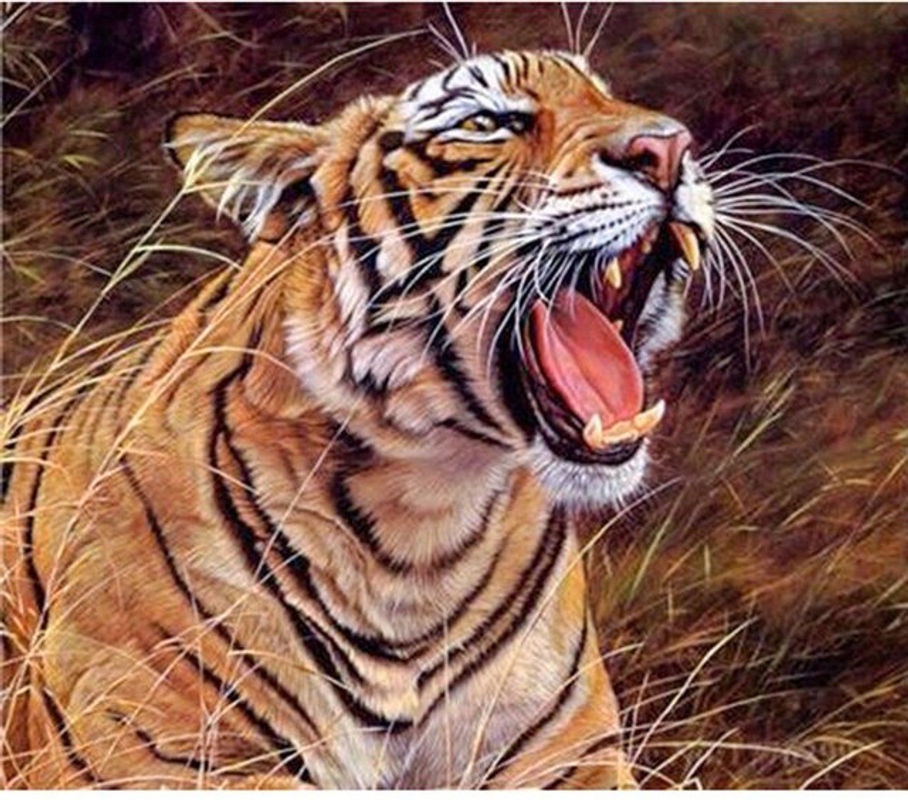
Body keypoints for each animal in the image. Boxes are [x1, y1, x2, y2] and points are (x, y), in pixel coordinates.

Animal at [1, 49, 714, 789]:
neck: (419, 529)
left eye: (606, 94)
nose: (668, 149)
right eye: (486, 122)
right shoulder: (157, 756)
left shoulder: (571, 756)